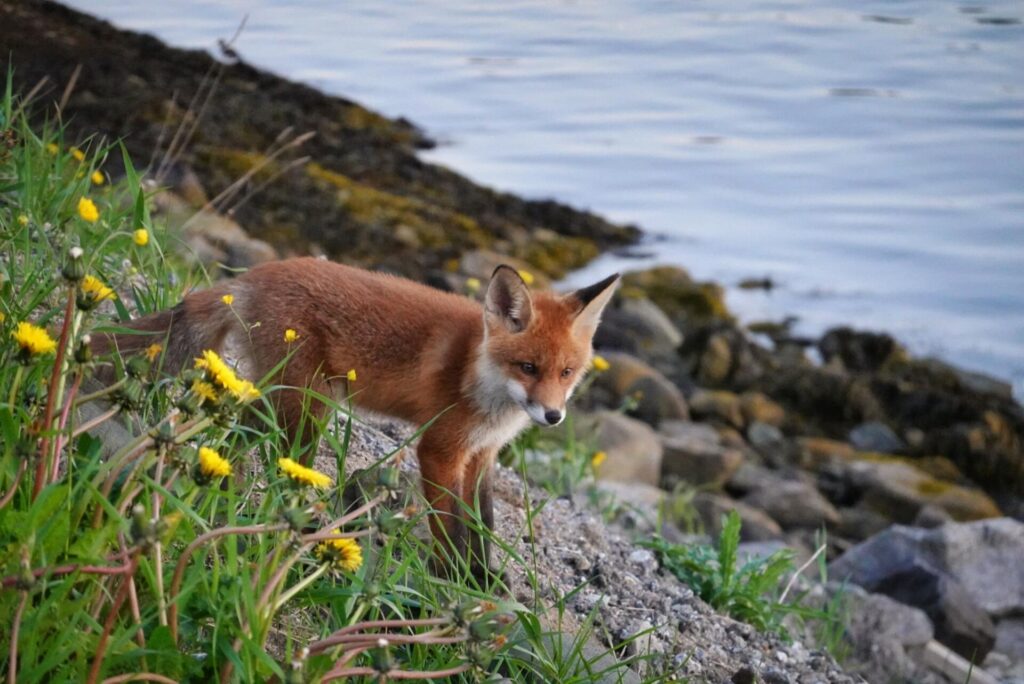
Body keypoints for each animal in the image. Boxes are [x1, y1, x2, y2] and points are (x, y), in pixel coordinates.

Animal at [94, 257, 619, 577]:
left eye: (566, 372)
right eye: (527, 367)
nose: (552, 415)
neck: (480, 373)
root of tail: (251, 275)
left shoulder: (482, 455)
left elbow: (483, 524)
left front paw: (482, 580)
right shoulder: (439, 450)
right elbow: (450, 529)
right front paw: (452, 581)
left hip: (286, 400)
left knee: (239, 439)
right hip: (309, 409)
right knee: (281, 464)